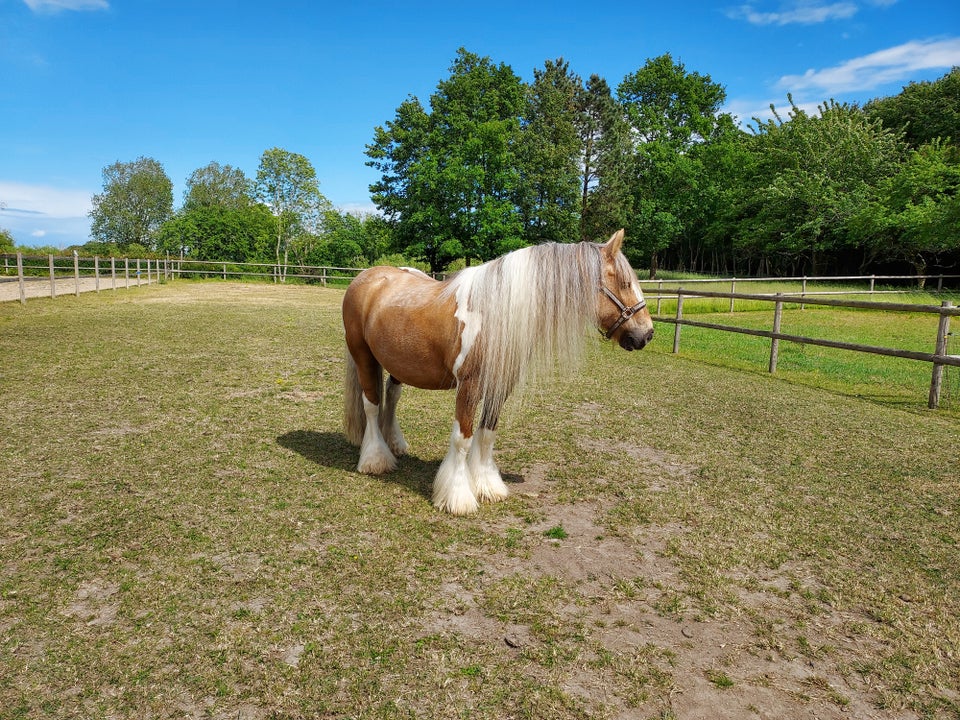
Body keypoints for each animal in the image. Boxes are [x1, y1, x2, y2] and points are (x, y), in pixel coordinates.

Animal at [342, 228, 656, 516]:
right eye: (625, 283)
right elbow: (463, 438)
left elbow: (487, 434)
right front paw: (458, 497)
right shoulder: (469, 386)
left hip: (399, 364)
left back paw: (394, 444)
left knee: (392, 396)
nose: (646, 334)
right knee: (371, 405)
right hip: (364, 357)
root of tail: (367, 277)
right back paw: (375, 460)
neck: (493, 313)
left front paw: (487, 486)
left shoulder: (500, 386)